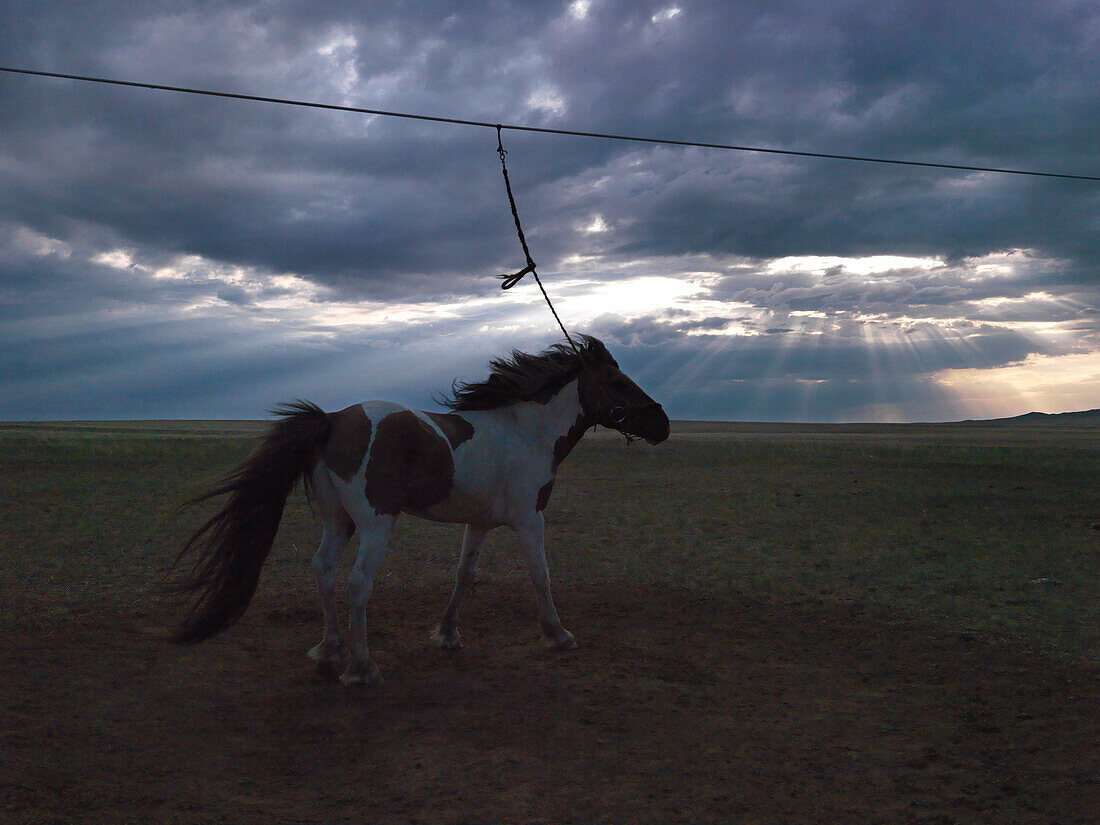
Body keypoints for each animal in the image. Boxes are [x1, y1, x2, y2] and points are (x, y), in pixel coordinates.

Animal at [171, 334, 668, 686]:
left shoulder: (480, 522)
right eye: (618, 383)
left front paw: (447, 635)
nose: (662, 424)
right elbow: (540, 574)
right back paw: (361, 667)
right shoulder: (530, 519)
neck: (525, 432)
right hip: (376, 523)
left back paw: (329, 650)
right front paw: (558, 635)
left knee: (323, 570)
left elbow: (464, 575)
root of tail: (332, 420)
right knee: (357, 582)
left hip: (339, 521)